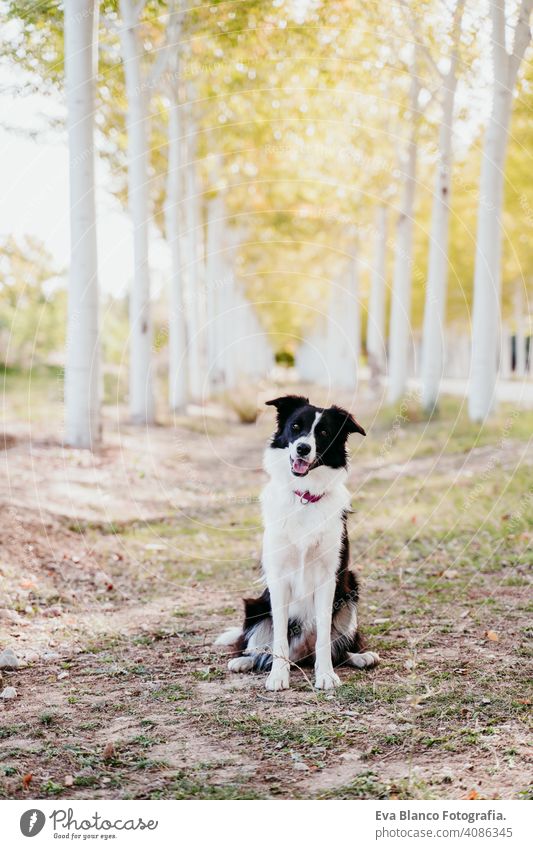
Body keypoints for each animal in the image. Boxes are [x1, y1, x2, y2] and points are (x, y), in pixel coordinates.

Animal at [214, 396, 376, 688]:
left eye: (323, 432)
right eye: (296, 427)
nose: (303, 448)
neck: (305, 496)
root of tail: (302, 654)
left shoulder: (329, 577)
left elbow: (324, 635)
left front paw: (325, 675)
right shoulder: (278, 579)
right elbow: (278, 636)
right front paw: (279, 676)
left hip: (350, 594)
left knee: (337, 648)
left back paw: (360, 657)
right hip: (256, 608)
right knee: (257, 648)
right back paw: (244, 661)